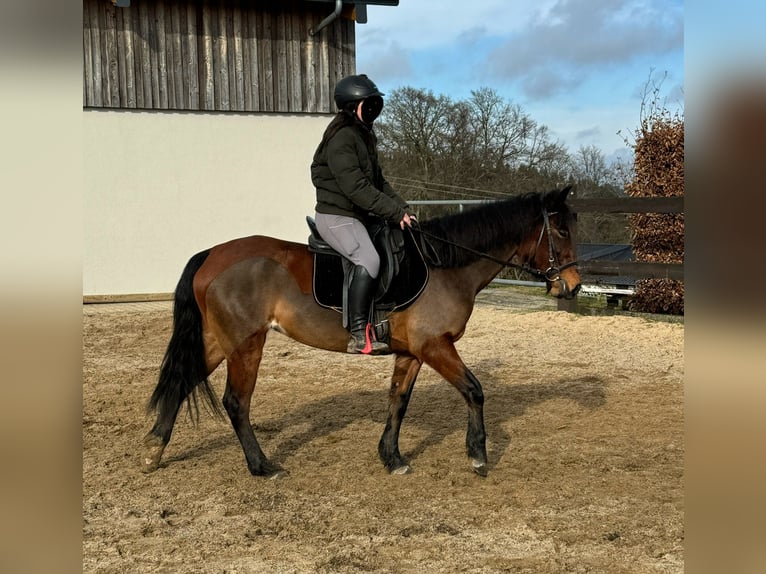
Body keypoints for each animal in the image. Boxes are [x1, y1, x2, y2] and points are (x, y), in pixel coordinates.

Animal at [142, 187, 584, 480]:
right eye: (561, 232)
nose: (574, 286)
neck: (443, 264)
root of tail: (212, 254)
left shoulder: (412, 352)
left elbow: (398, 401)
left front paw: (392, 457)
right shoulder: (435, 346)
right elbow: (474, 390)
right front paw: (477, 455)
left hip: (217, 341)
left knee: (181, 382)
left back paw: (154, 450)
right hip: (246, 344)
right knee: (236, 402)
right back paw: (262, 466)